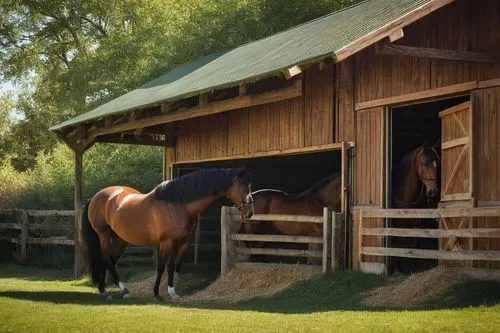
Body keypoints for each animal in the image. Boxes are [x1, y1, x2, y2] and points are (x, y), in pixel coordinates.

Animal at [83, 167, 254, 300]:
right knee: (106, 258)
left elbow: (174, 266)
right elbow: (162, 266)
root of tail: (96, 196)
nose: (250, 212)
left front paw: (173, 292)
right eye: (242, 185)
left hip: (120, 238)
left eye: (249, 184)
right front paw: (157, 293)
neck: (178, 205)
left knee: (110, 260)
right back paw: (117, 291)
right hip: (104, 235)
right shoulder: (166, 242)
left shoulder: (182, 242)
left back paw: (105, 290)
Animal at [392, 143, 440, 272]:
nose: (433, 192)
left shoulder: (418, 225)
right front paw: (398, 269)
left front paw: (412, 268)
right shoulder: (397, 226)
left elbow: (415, 245)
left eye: (438, 164)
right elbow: (397, 246)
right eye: (424, 163)